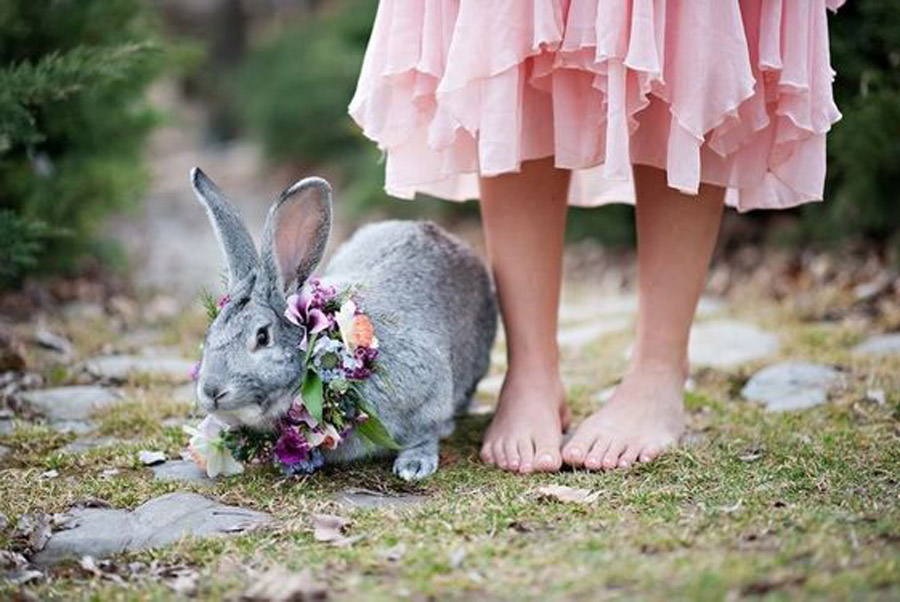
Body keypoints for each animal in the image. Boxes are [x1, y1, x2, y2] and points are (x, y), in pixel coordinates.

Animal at [192, 168, 500, 478]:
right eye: (209, 334)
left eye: (262, 337)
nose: (212, 391)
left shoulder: (428, 395)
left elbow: (424, 432)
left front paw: (414, 465)